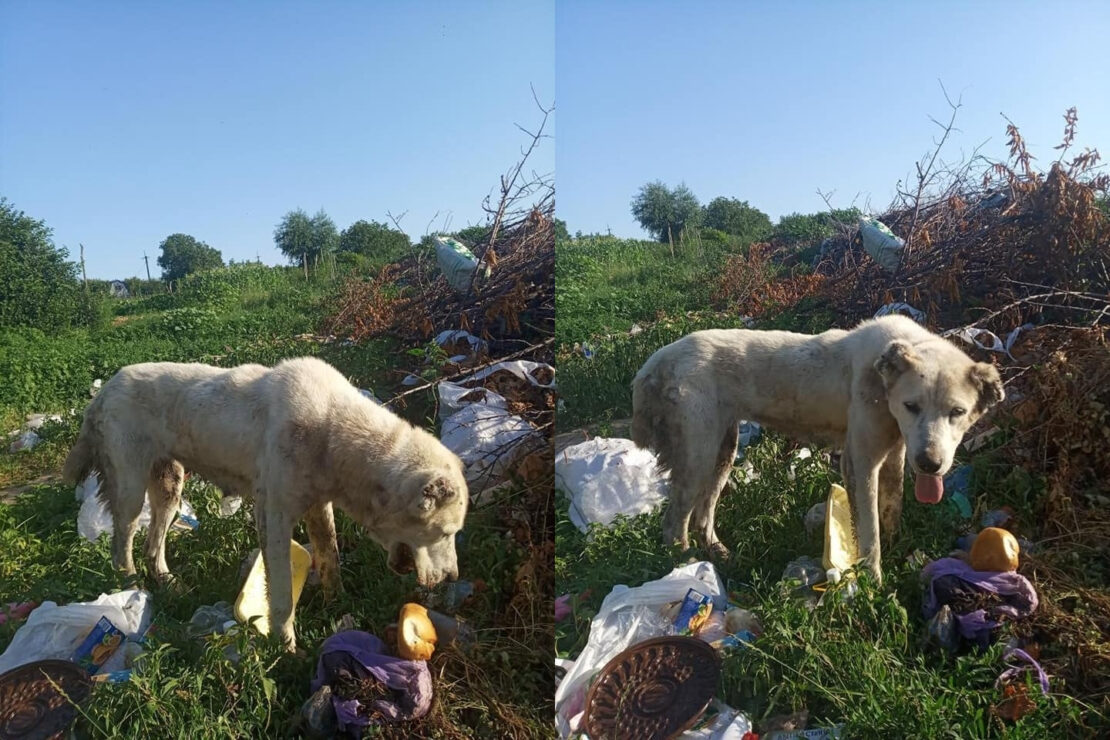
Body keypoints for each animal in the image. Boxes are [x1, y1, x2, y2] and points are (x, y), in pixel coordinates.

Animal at [62, 357, 466, 647]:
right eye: (446, 532)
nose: (453, 578)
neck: (335, 432)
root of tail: (105, 389)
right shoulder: (274, 517)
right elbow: (283, 596)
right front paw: (285, 648)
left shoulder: (319, 509)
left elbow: (330, 557)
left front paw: (337, 604)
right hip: (130, 492)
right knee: (122, 544)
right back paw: (131, 588)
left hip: (169, 489)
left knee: (153, 543)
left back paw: (166, 582)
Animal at [634, 315, 1007, 581]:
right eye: (911, 406)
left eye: (957, 412)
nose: (930, 463)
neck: (884, 381)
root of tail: (656, 361)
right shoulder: (860, 462)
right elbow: (870, 534)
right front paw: (871, 584)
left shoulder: (896, 455)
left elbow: (891, 510)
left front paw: (897, 549)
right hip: (698, 455)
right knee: (674, 523)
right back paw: (682, 565)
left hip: (723, 451)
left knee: (702, 514)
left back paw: (717, 554)